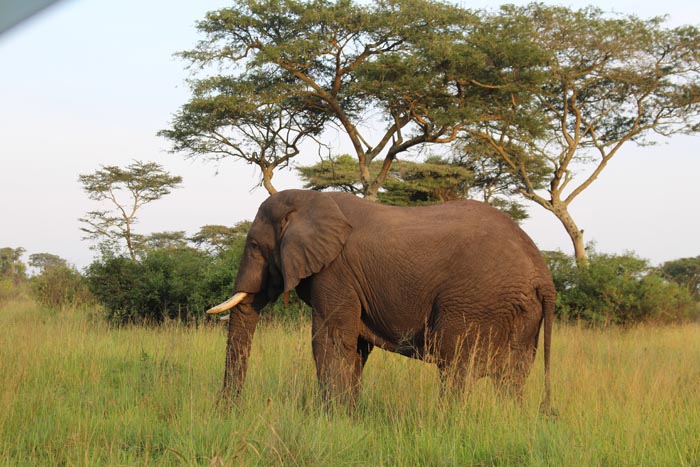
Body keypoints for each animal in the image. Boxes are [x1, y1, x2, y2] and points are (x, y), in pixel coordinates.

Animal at [205, 188, 556, 412]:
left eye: (254, 246)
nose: (227, 411)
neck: (309, 199)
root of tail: (543, 275)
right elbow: (356, 348)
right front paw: (348, 418)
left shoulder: (337, 272)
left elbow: (331, 340)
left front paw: (330, 418)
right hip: (521, 313)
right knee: (512, 377)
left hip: (474, 302)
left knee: (455, 367)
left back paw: (450, 423)